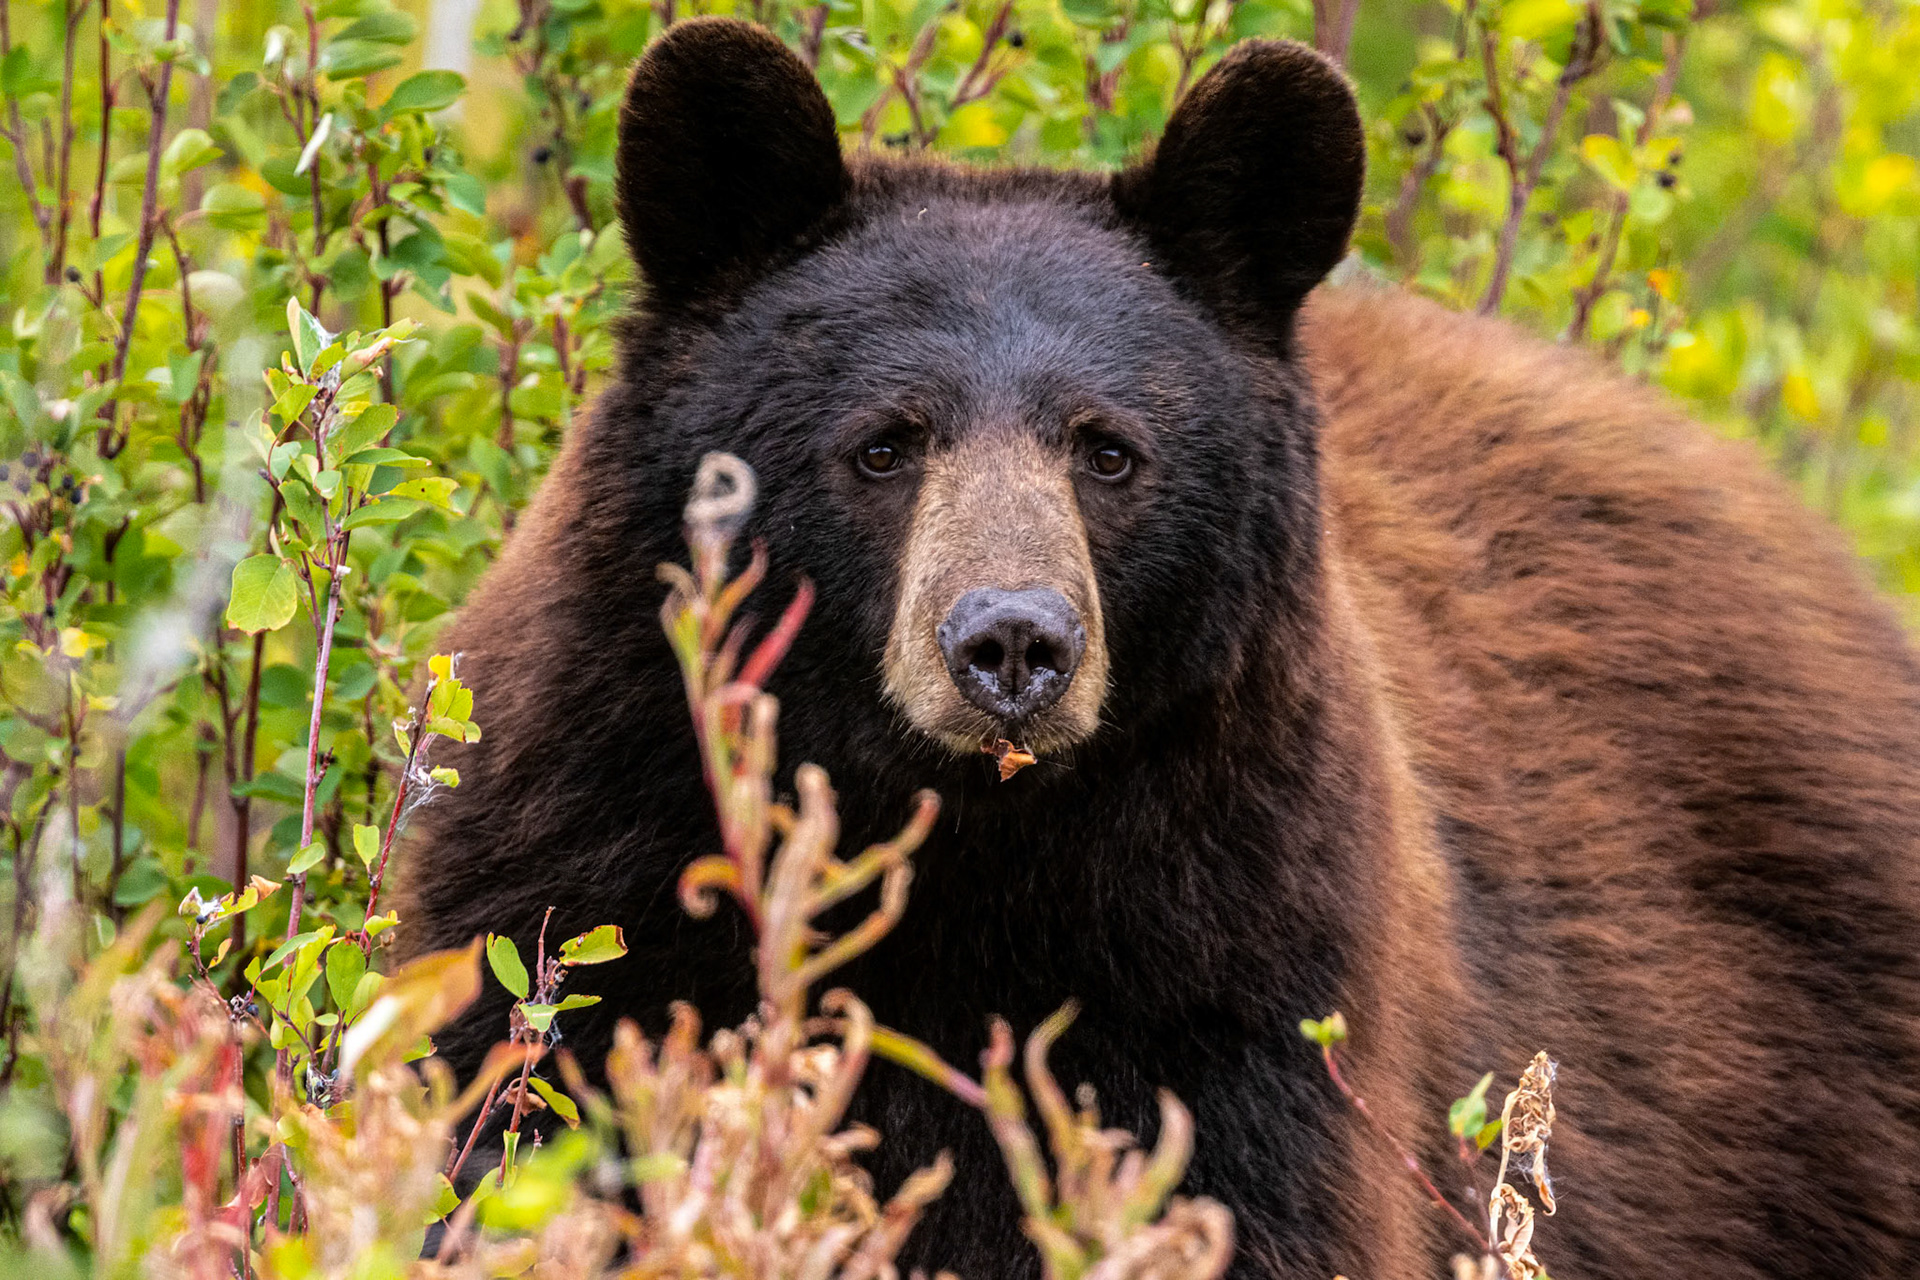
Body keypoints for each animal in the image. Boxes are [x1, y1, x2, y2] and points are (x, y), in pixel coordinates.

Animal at [400, 17, 1920, 1279]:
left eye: (1111, 449)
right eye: (883, 443)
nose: (1013, 645)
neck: (962, 849)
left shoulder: (1244, 942)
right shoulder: (588, 851)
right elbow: (512, 1122)